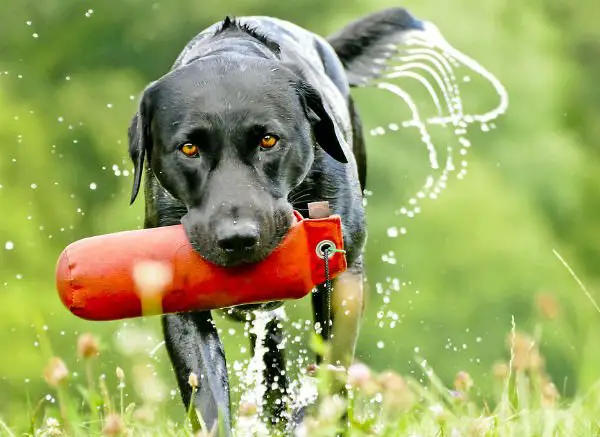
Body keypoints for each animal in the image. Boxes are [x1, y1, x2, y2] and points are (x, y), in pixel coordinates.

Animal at [129, 6, 424, 432]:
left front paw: (314, 417)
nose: (237, 238)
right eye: (188, 149)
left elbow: (332, 369)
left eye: (268, 140)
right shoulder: (180, 303)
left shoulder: (343, 275)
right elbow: (207, 396)